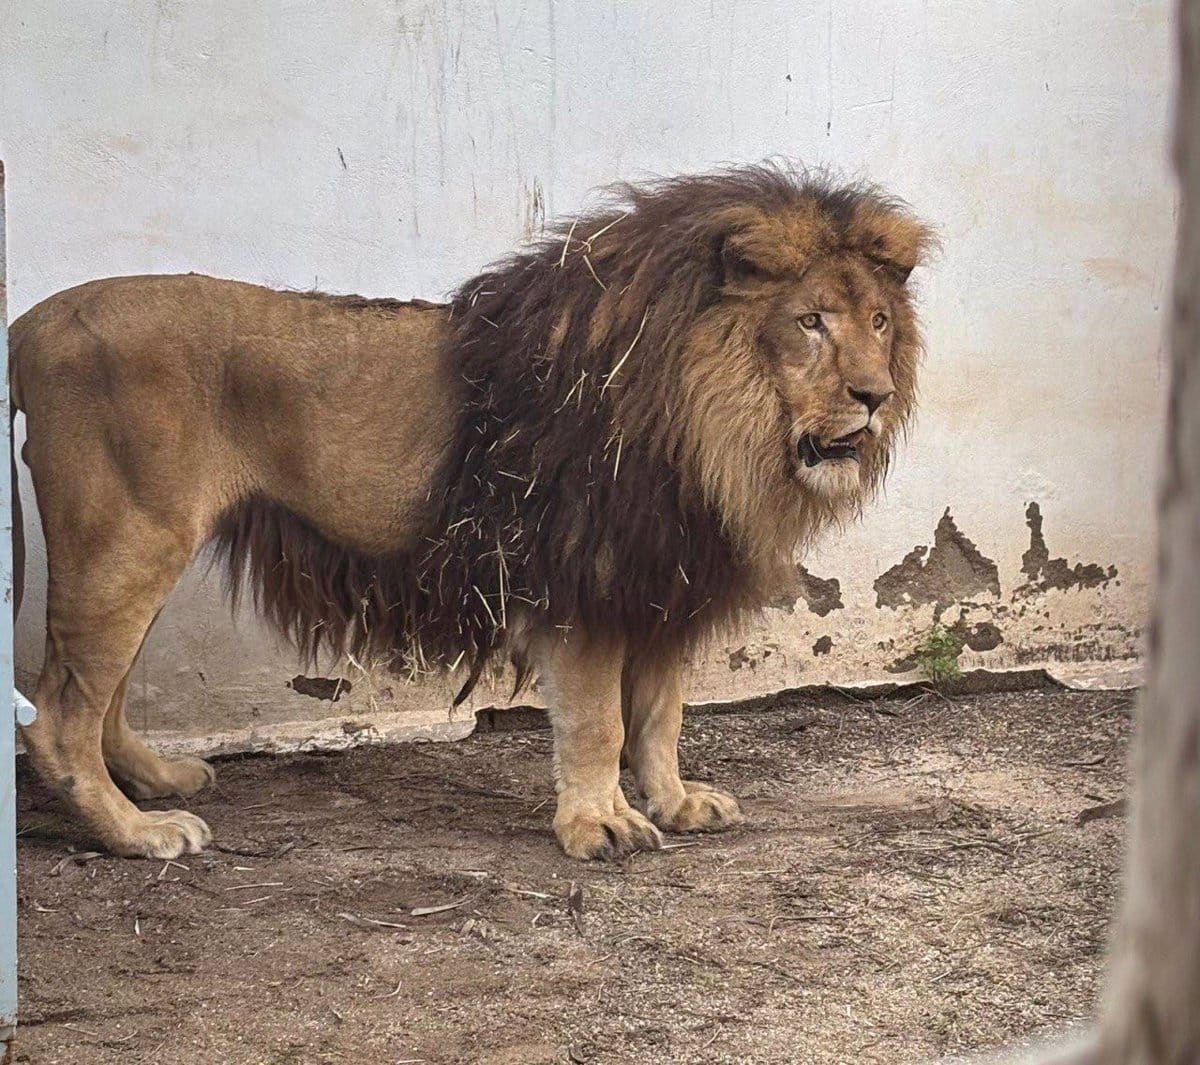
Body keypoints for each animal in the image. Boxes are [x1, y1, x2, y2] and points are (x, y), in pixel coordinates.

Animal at [10, 163, 932, 861]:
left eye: (879, 321)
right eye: (809, 322)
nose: (874, 395)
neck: (718, 421)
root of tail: (29, 323)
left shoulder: (659, 577)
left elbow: (660, 716)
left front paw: (673, 802)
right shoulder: (584, 582)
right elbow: (598, 722)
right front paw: (599, 824)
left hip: (138, 550)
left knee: (103, 698)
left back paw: (158, 781)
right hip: (126, 541)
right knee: (60, 716)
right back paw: (138, 832)